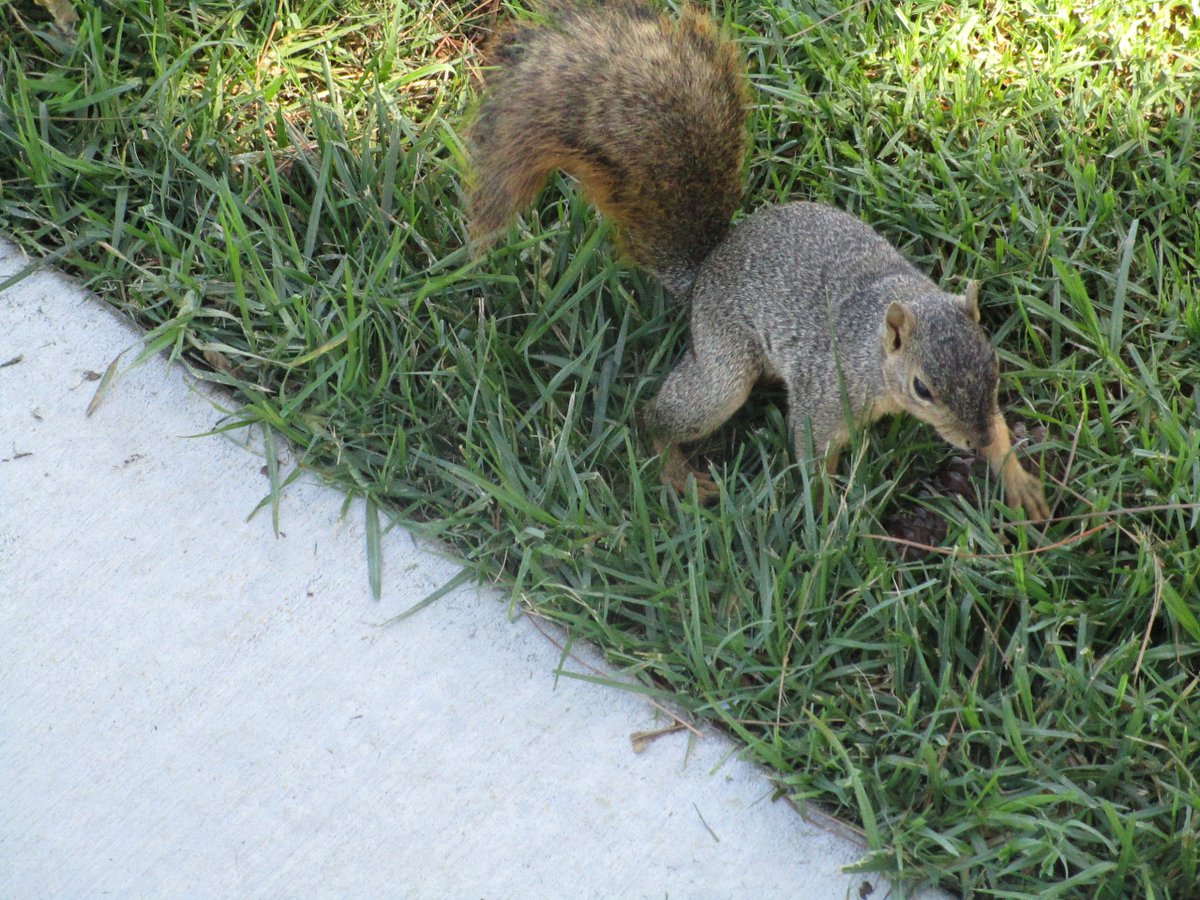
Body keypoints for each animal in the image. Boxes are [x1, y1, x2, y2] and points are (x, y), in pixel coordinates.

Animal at [468, 0, 1051, 522]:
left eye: (994, 363)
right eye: (922, 389)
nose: (974, 443)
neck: (878, 336)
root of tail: (707, 270)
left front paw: (1016, 475)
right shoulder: (827, 390)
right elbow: (812, 450)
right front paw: (831, 519)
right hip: (725, 368)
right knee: (660, 415)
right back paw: (675, 469)